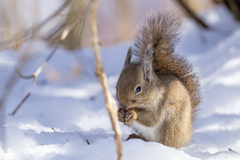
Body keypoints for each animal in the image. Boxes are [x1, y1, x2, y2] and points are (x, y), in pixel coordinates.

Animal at [116, 11, 201, 149]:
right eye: (116, 87)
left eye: (138, 89)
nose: (123, 106)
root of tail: (185, 136)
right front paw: (118, 113)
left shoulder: (160, 104)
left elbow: (152, 118)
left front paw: (133, 114)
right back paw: (137, 137)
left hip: (170, 125)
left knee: (165, 143)